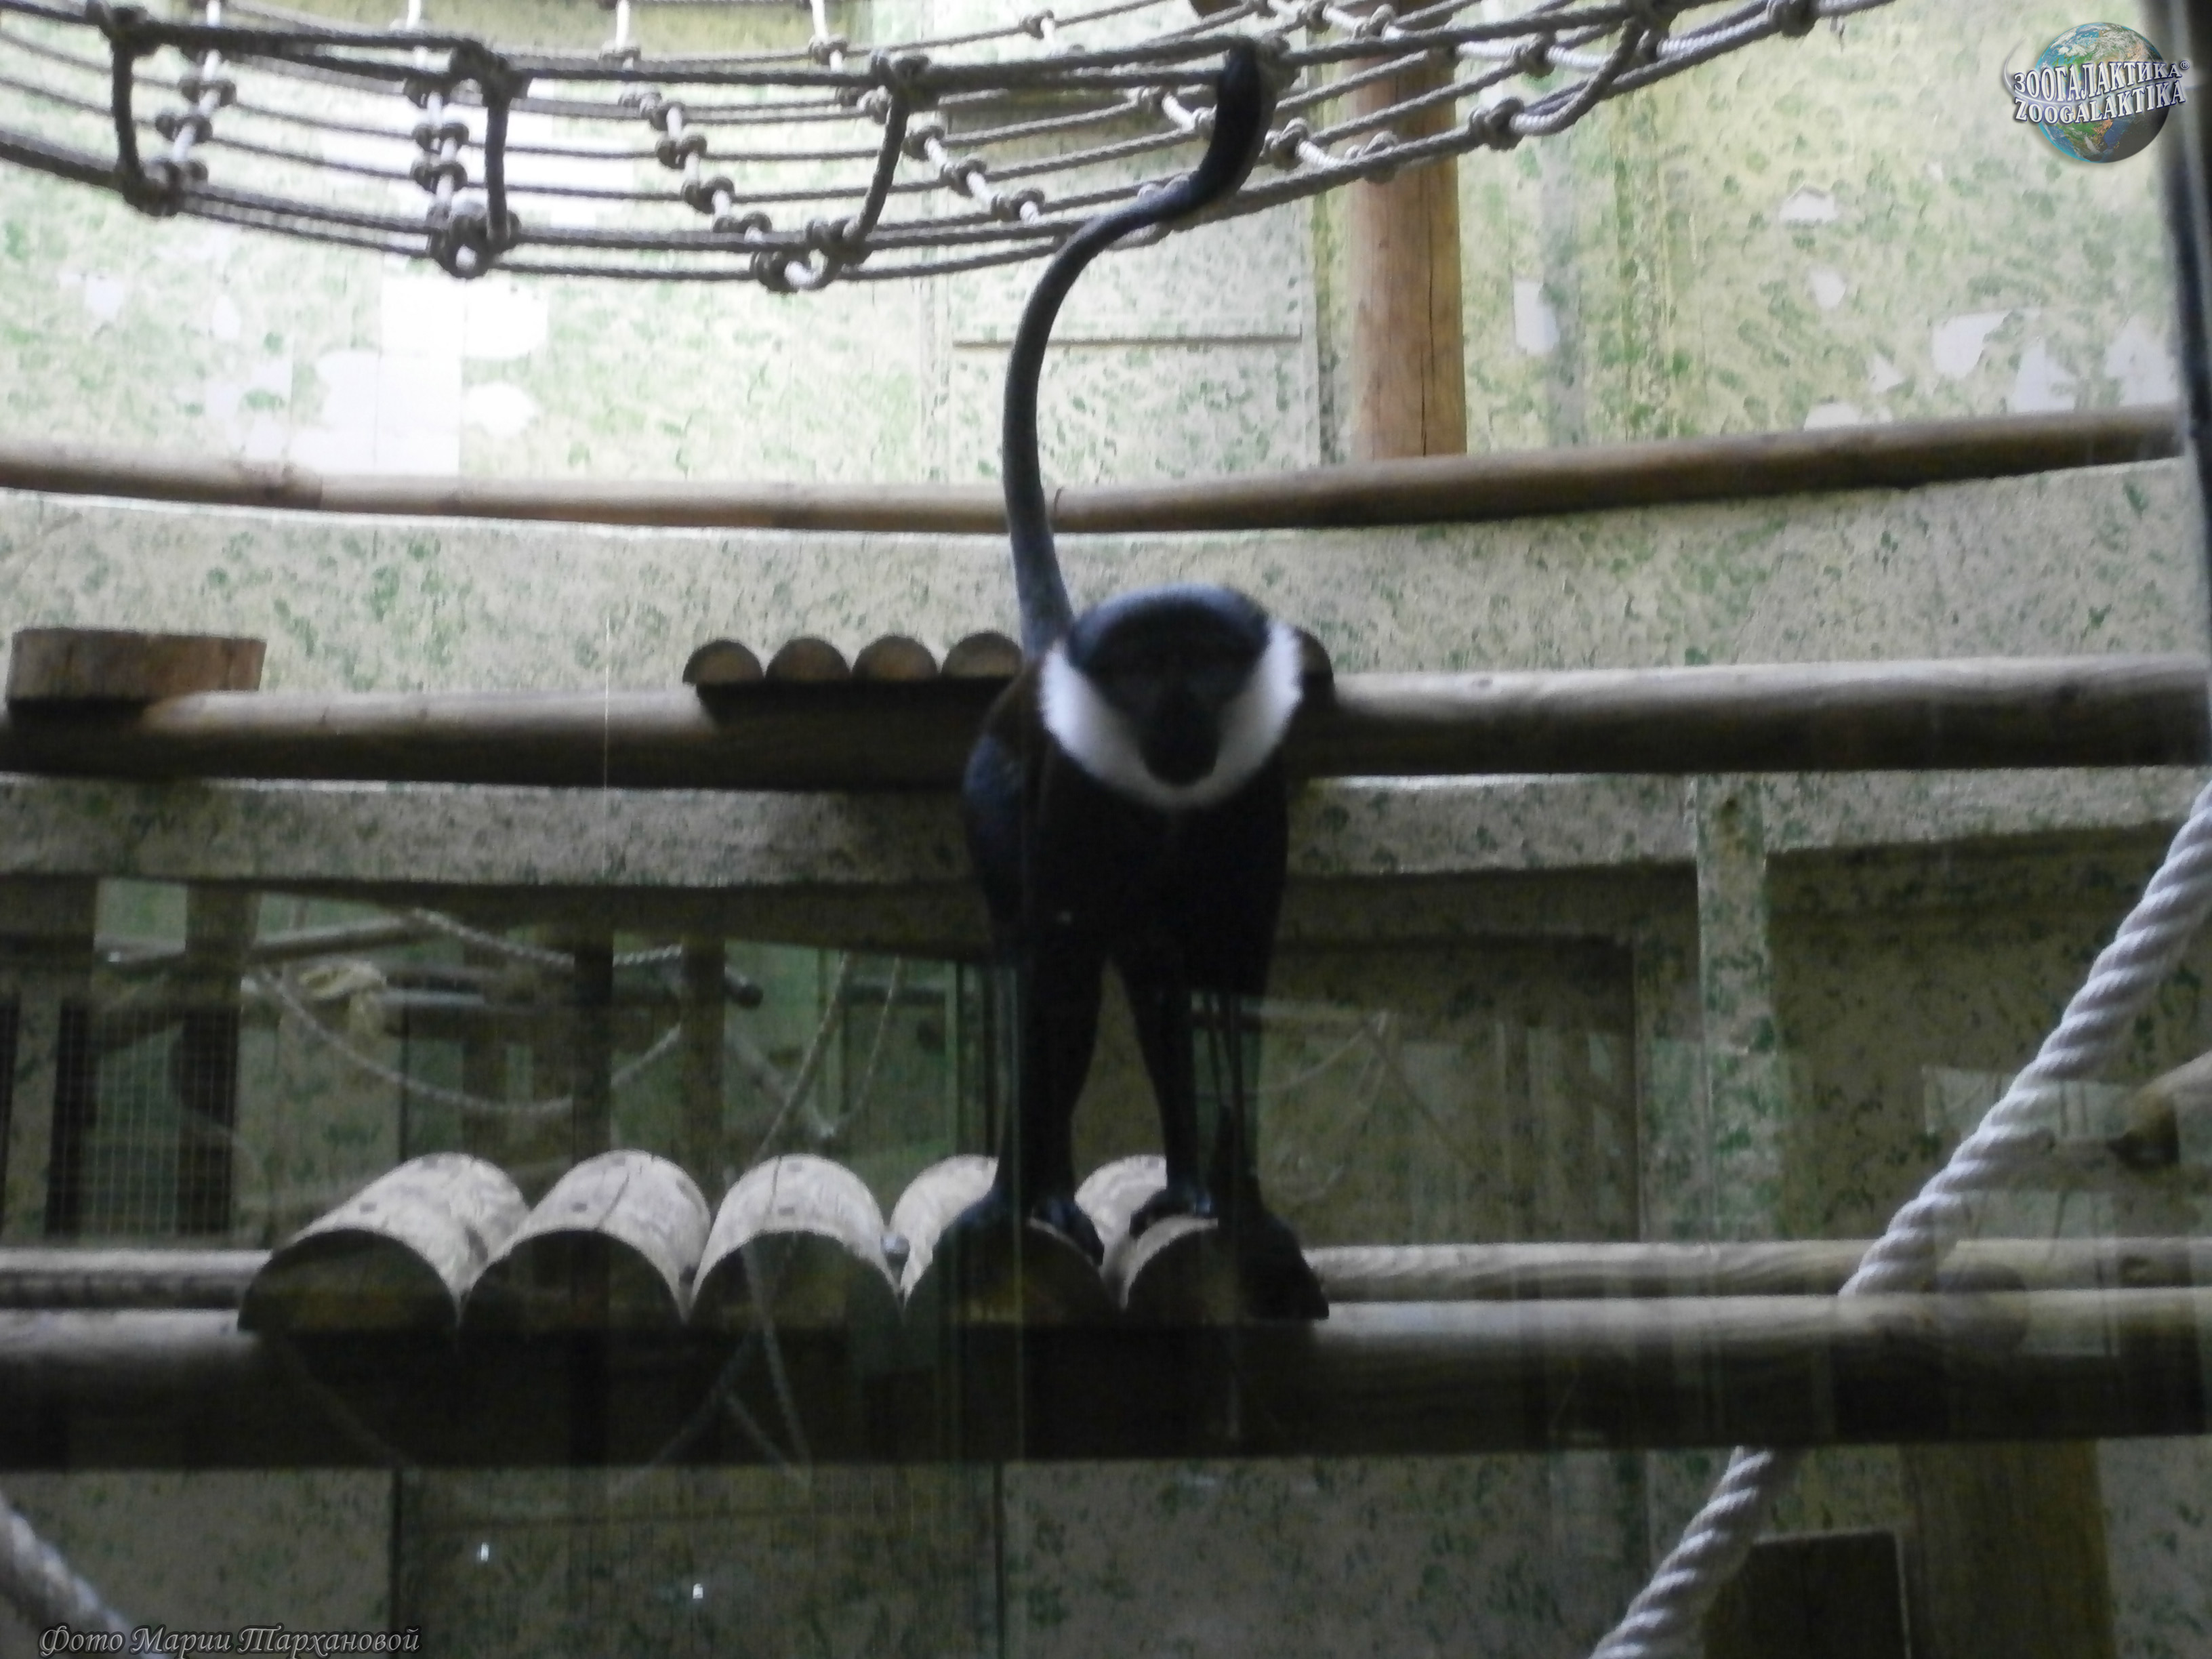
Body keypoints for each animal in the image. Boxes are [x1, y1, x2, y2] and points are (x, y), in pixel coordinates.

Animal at [945, 38, 1326, 1317]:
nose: (1175, 723)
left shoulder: (1254, 800)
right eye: (1142, 672)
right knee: (1045, 965)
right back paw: (1038, 1196)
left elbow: (1234, 988)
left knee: (1160, 979)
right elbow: (1052, 979)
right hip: (993, 799)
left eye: (1204, 669)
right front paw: (1013, 1204)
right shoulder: (1068, 800)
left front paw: (1245, 1207)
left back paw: (1191, 1184)